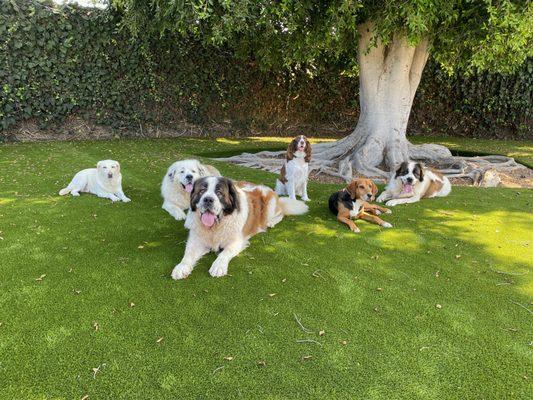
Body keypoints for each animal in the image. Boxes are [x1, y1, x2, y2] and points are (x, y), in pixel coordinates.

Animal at [170, 177, 308, 280]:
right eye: (202, 191)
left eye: (219, 193)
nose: (208, 199)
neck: (215, 227)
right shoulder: (196, 240)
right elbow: (188, 254)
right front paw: (181, 267)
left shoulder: (236, 241)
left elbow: (225, 252)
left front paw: (218, 266)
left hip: (270, 206)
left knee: (280, 213)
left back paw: (270, 223)